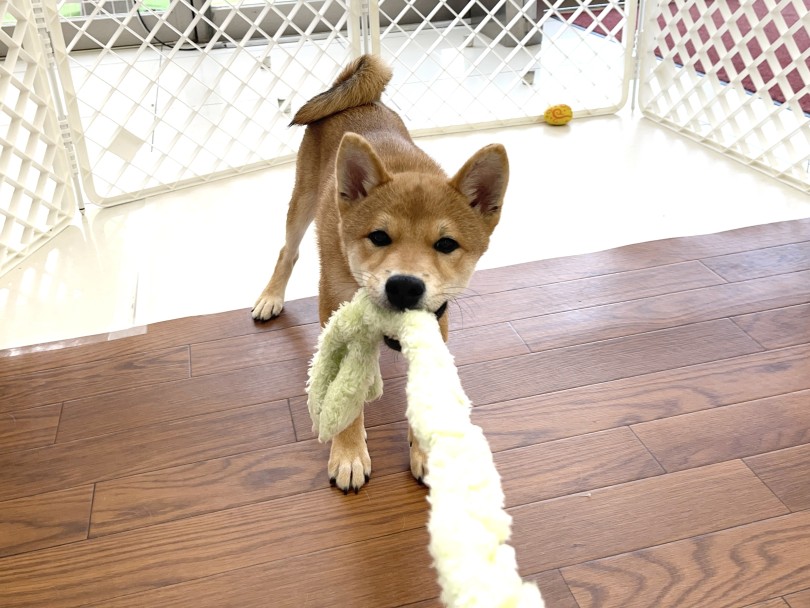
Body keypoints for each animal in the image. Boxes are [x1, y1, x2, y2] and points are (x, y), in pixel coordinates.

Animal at [252, 53, 508, 494]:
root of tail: (358, 98)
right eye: (379, 237)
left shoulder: (437, 322)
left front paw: (424, 450)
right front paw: (348, 452)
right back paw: (271, 297)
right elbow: (346, 397)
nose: (404, 286)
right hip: (301, 204)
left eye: (446, 245)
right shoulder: (333, 308)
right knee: (288, 251)